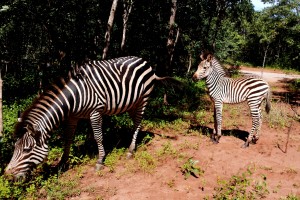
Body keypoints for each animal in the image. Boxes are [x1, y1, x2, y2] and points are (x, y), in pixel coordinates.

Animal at [4, 55, 179, 180]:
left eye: (26, 149)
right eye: (15, 147)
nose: (6, 175)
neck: (73, 98)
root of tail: (145, 61)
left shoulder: (95, 112)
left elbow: (98, 136)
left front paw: (100, 161)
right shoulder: (72, 117)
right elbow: (68, 138)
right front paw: (62, 163)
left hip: (144, 99)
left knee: (137, 123)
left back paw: (130, 151)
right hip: (132, 103)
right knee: (138, 123)